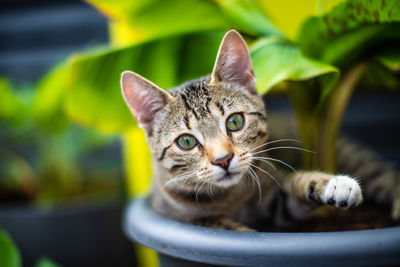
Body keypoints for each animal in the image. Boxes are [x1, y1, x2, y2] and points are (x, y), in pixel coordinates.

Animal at [121, 28, 400, 230]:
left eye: (235, 122)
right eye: (186, 142)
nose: (223, 160)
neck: (230, 197)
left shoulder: (276, 202)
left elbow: (298, 184)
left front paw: (332, 183)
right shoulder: (178, 216)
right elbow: (222, 226)